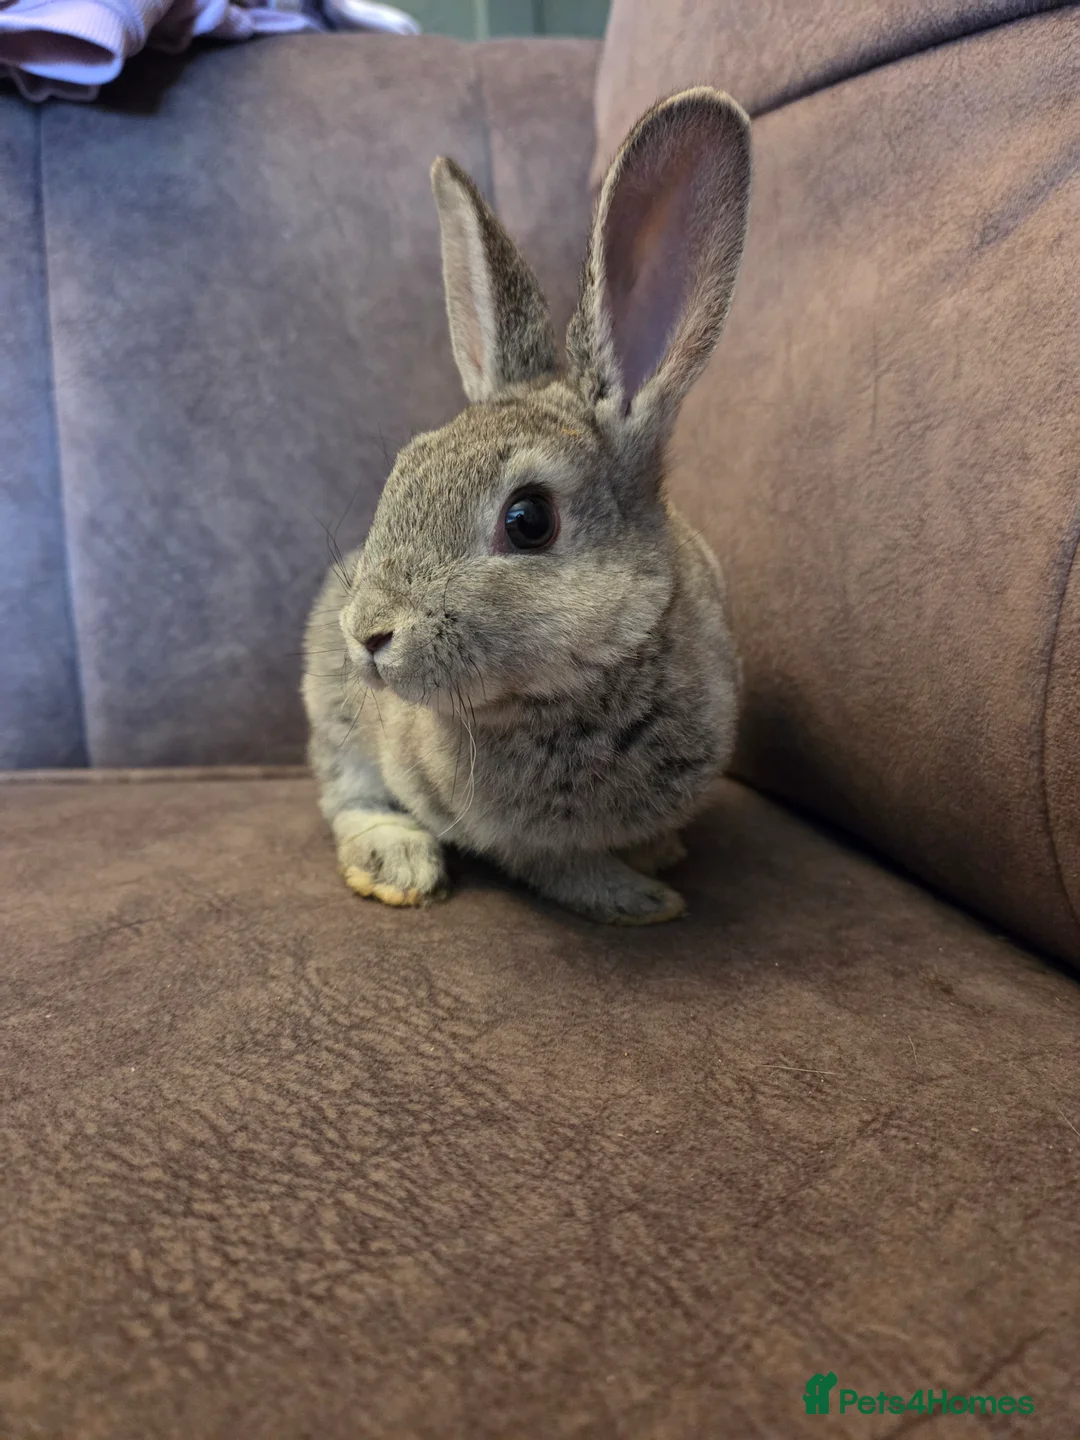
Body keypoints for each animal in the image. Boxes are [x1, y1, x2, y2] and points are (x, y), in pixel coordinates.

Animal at [302, 86, 752, 925]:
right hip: (338, 715)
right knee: (346, 792)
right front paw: (643, 901)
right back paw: (397, 865)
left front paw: (658, 856)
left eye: (528, 521)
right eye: (403, 470)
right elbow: (560, 867)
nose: (367, 633)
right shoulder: (519, 841)